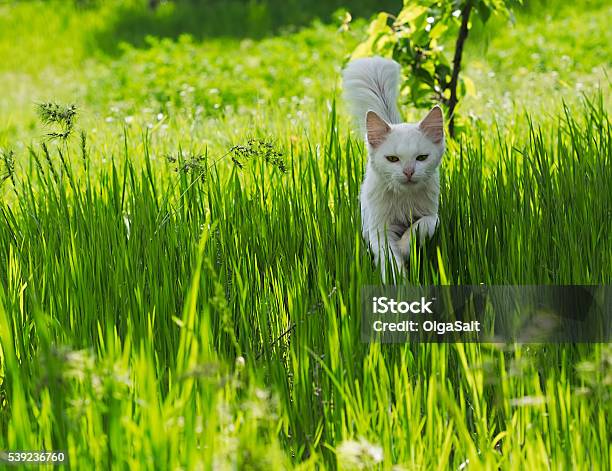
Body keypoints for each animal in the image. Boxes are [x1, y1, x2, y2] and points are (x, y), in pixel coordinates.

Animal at [342, 56, 448, 278]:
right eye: (392, 159)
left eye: (421, 157)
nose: (408, 172)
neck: (403, 201)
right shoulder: (378, 228)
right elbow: (389, 257)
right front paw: (399, 278)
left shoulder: (431, 214)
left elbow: (424, 225)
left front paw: (405, 246)